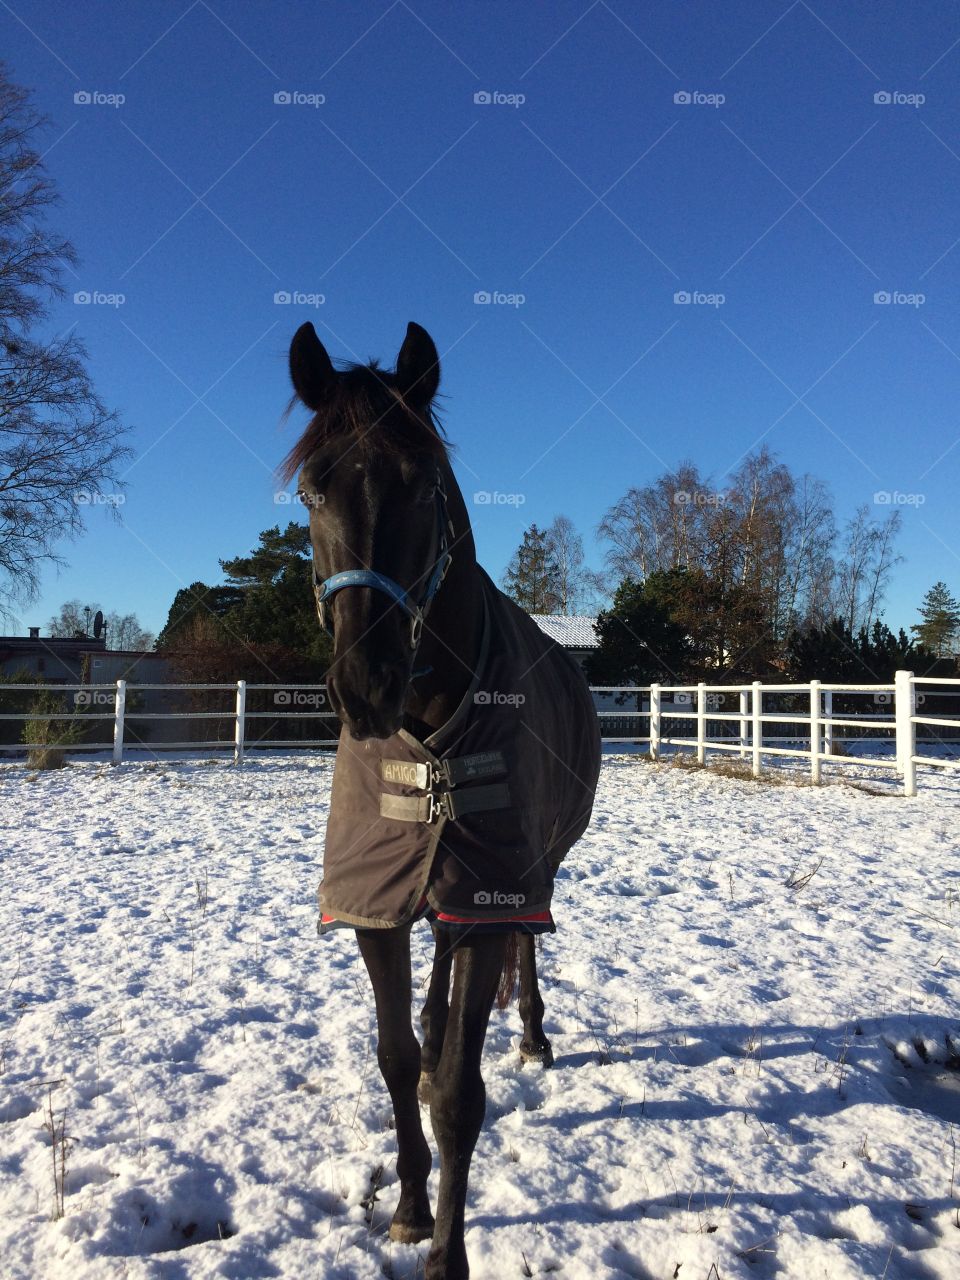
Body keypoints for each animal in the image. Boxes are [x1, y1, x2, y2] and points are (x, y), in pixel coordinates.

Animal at [282, 320, 600, 1279]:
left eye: (423, 486)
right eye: (311, 489)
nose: (364, 687)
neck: (426, 729)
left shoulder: (492, 894)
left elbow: (460, 1092)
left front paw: (448, 1251)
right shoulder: (375, 904)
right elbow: (394, 1058)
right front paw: (411, 1207)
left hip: (532, 872)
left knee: (522, 951)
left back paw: (530, 1033)